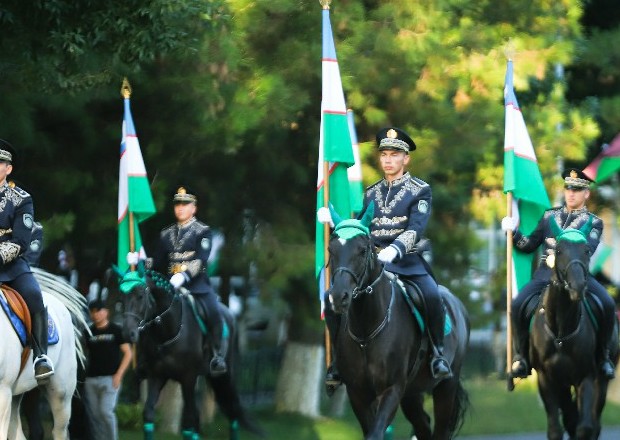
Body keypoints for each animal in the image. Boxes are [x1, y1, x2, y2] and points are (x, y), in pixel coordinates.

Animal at [117, 270, 262, 438]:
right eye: (122, 297)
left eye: (140, 295)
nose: (128, 333)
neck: (169, 330)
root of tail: (231, 315)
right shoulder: (156, 376)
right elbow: (149, 414)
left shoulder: (188, 378)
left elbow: (188, 421)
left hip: (227, 375)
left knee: (232, 412)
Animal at [326, 206, 468, 440]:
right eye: (331, 250)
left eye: (363, 250)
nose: (338, 296)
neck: (366, 331)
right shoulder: (358, 393)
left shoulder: (392, 389)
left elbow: (376, 433)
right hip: (411, 394)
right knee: (423, 426)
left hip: (446, 386)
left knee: (440, 430)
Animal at [520, 218, 620, 438]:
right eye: (558, 250)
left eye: (586, 250)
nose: (577, 287)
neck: (561, 331)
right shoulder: (547, 380)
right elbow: (556, 429)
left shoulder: (587, 377)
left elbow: (585, 427)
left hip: (601, 380)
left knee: (593, 422)